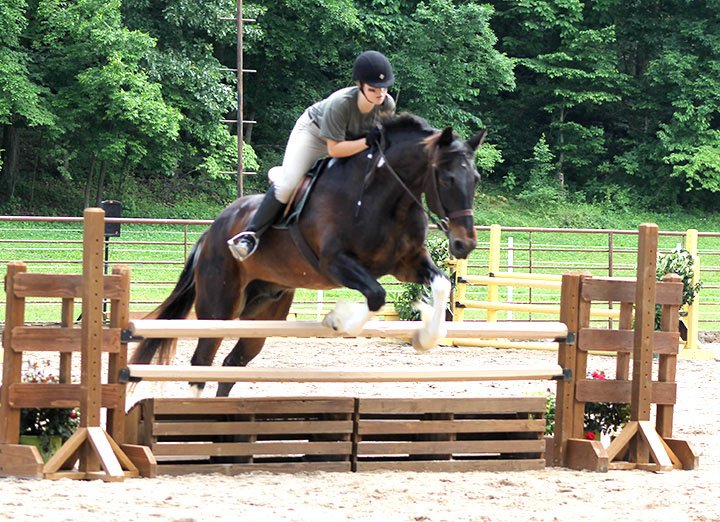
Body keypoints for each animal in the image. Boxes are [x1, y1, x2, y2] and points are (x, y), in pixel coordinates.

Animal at [131, 110, 484, 394]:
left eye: (476, 178)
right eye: (448, 178)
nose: (465, 244)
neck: (384, 199)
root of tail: (210, 233)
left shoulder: (407, 263)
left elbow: (441, 284)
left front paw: (426, 335)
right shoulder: (334, 262)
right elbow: (376, 295)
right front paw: (338, 320)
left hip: (262, 313)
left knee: (232, 364)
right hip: (219, 308)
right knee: (201, 362)